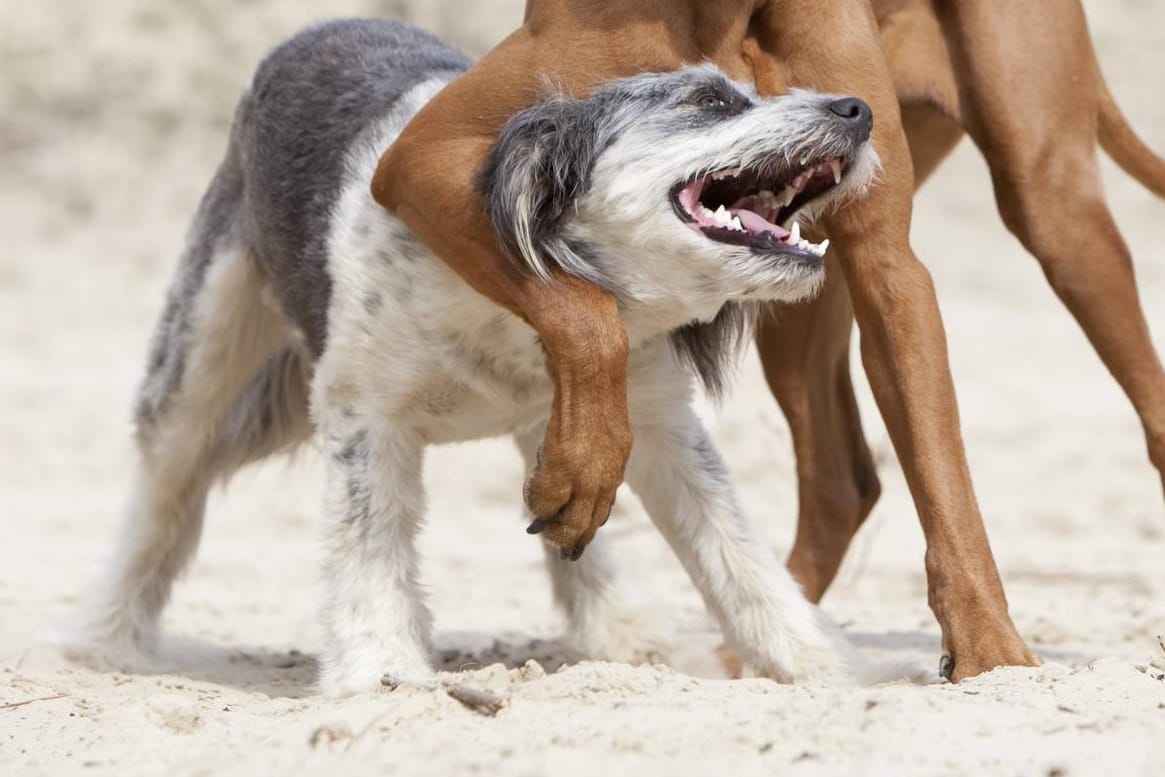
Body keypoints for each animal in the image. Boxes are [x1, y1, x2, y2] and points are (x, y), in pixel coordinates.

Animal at [63, 18, 885, 694]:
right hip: (202, 347)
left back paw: (620, 632)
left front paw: (819, 665)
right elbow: (370, 544)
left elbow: (735, 552)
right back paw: (105, 640)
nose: (857, 109)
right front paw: (381, 668)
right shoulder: (365, 414)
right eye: (710, 102)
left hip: (551, 426)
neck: (518, 297)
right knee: (164, 491)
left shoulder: (653, 419)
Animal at [375, 0, 1165, 680]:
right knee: (841, 480)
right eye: (705, 106)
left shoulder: (890, 266)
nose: (848, 112)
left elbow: (945, 482)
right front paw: (583, 463)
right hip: (796, 303)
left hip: (1052, 212)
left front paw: (989, 651)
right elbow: (581, 307)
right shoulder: (423, 159)